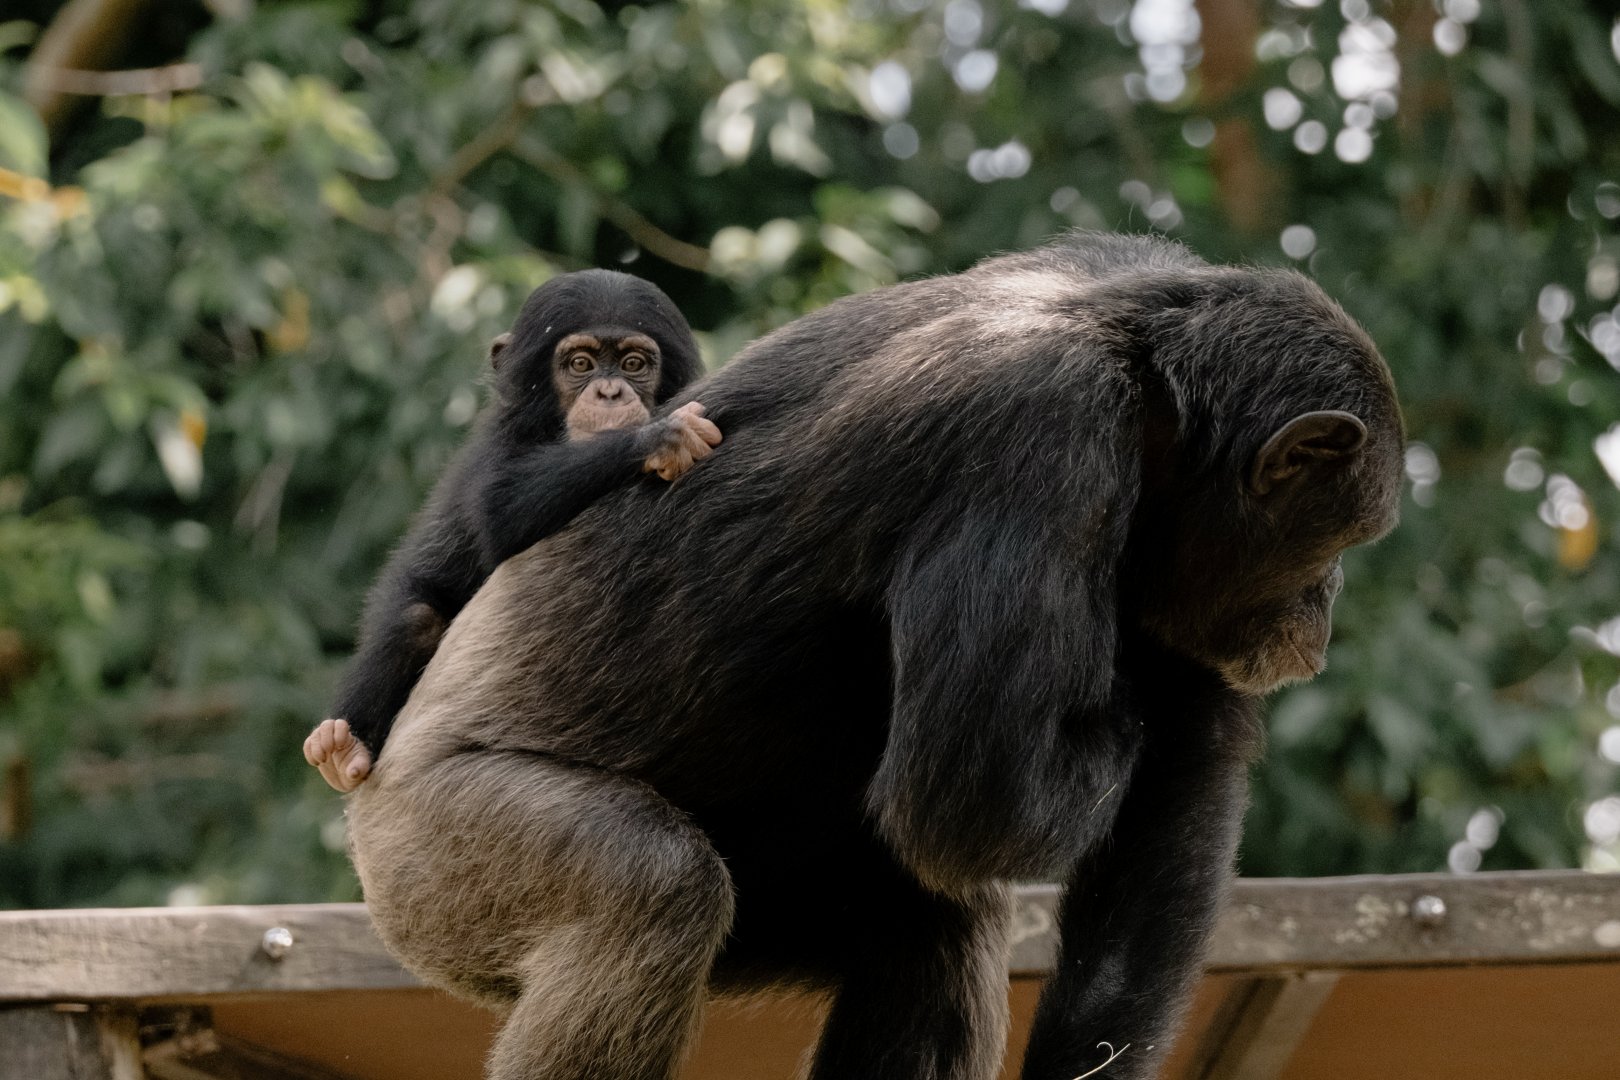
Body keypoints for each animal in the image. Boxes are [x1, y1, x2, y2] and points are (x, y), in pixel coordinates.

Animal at [303, 270, 718, 793]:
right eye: (580, 363)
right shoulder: (498, 443)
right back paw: (343, 748)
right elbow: (500, 510)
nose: (609, 392)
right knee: (413, 619)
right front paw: (662, 438)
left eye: (633, 363)